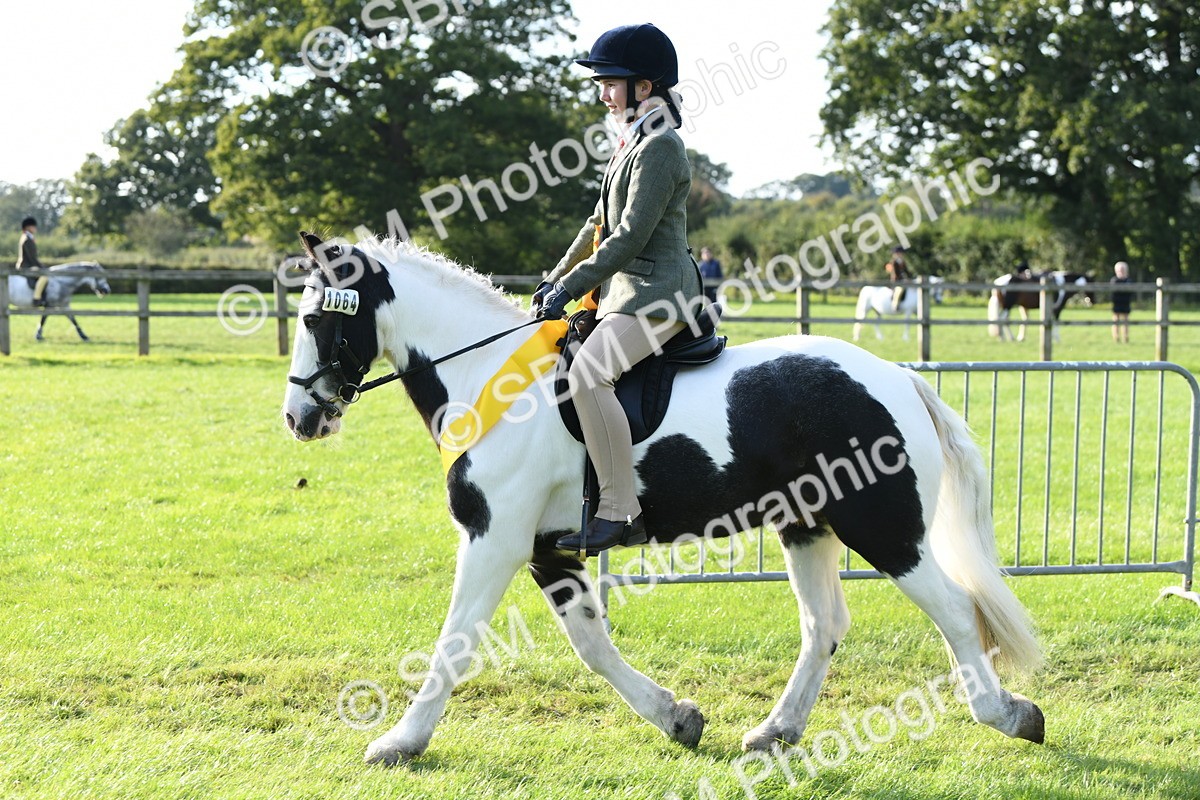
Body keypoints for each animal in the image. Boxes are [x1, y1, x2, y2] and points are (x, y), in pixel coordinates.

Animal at [282, 233, 1044, 765]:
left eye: (320, 319)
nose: (299, 417)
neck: (490, 380)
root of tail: (898, 376)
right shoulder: (546, 549)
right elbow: (591, 644)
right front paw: (678, 718)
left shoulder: (494, 538)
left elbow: (455, 641)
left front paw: (400, 741)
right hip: (808, 524)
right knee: (823, 625)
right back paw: (776, 731)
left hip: (883, 526)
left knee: (954, 609)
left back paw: (1007, 714)